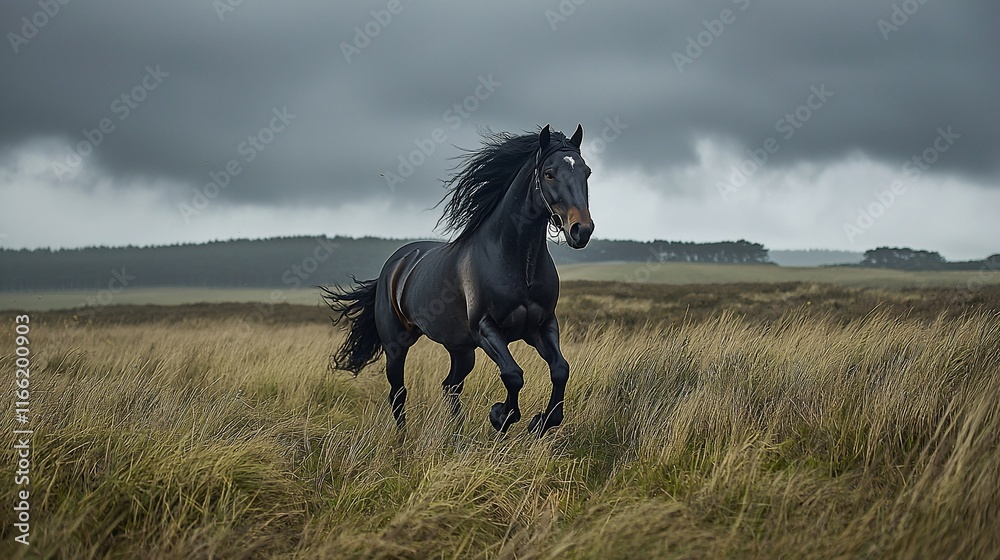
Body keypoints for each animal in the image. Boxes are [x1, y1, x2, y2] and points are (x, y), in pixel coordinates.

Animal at [321, 124, 594, 435]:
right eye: (549, 173)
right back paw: (403, 438)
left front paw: (541, 421)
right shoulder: (486, 329)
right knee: (399, 392)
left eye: (586, 172)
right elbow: (513, 374)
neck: (516, 261)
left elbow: (560, 369)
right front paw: (501, 415)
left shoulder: (542, 325)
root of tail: (394, 264)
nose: (581, 230)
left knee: (450, 386)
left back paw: (457, 434)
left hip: (461, 350)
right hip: (396, 346)